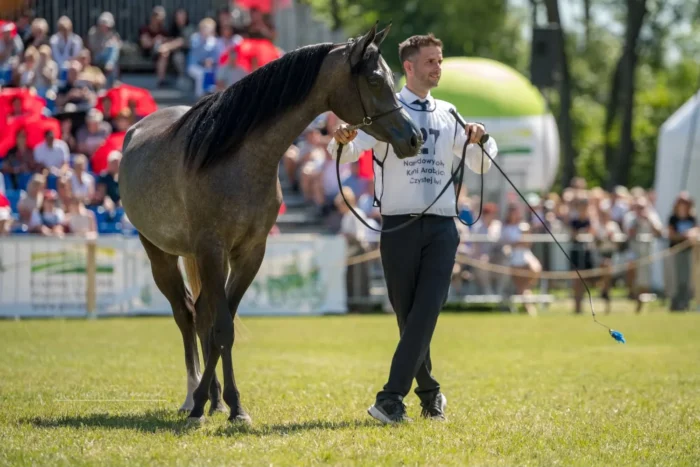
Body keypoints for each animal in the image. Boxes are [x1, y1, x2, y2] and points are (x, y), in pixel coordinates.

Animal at [119, 23, 422, 424]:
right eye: (374, 79)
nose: (414, 137)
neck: (235, 158)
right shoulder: (212, 250)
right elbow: (221, 327)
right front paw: (209, 407)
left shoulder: (250, 253)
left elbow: (223, 325)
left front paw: (231, 406)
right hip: (160, 254)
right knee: (185, 315)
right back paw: (191, 398)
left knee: (200, 314)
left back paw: (211, 399)